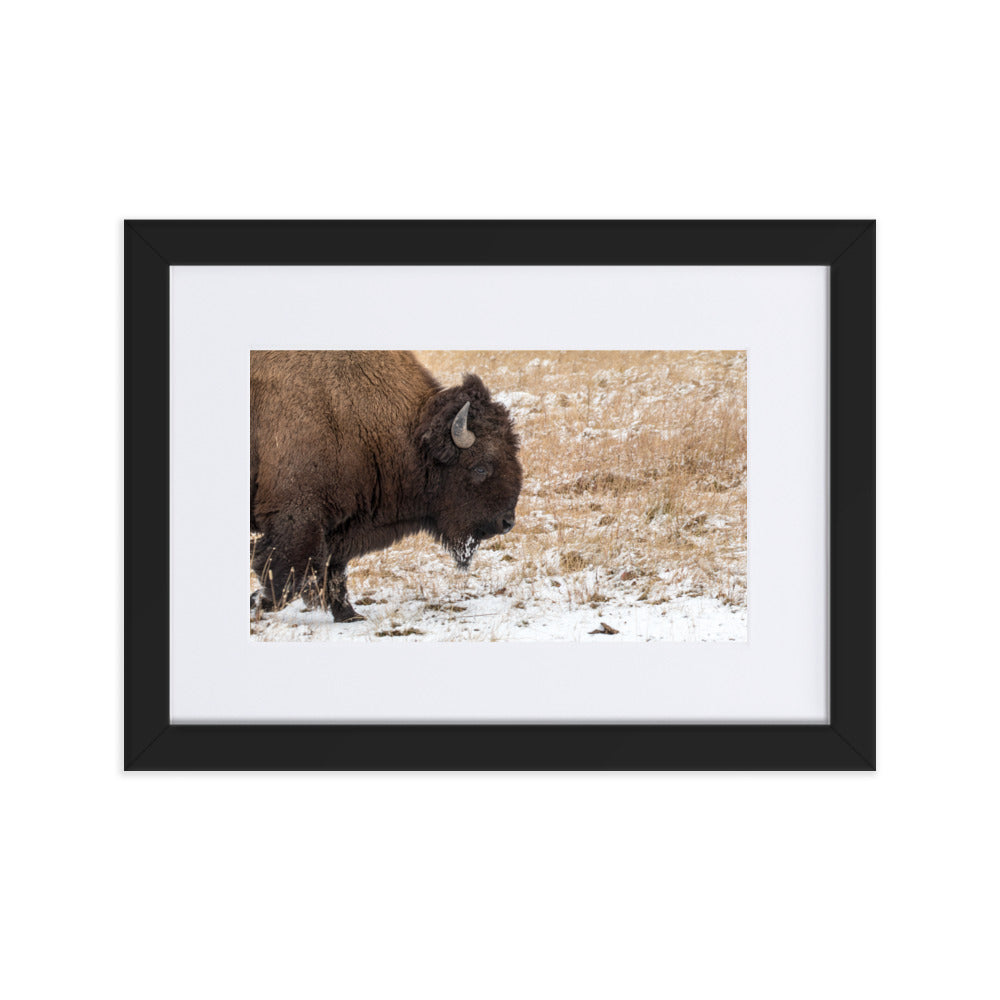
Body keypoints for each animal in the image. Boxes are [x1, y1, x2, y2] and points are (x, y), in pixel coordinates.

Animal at [251, 350, 522, 621]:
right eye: (480, 467)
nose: (506, 522)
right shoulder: (298, 516)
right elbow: (286, 574)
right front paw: (257, 602)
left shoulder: (339, 527)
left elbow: (333, 568)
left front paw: (349, 615)